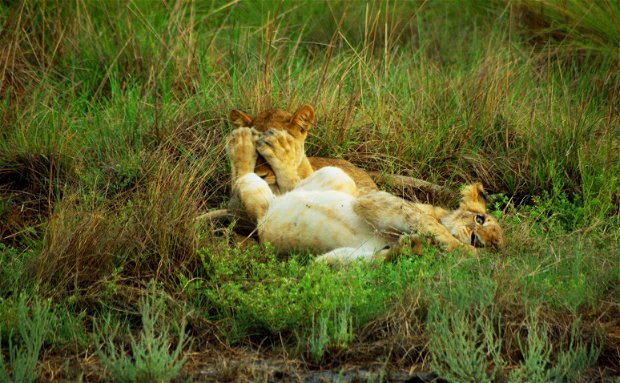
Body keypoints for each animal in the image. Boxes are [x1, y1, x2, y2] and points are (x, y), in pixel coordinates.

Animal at [228, 126, 504, 264]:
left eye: (494, 246)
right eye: (480, 219)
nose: (478, 240)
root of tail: (264, 215)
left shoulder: (345, 257)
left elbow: (343, 262)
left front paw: (409, 248)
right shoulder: (377, 201)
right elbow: (434, 227)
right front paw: (466, 251)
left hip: (330, 178)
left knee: (268, 184)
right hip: (341, 178)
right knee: (253, 174)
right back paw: (248, 142)